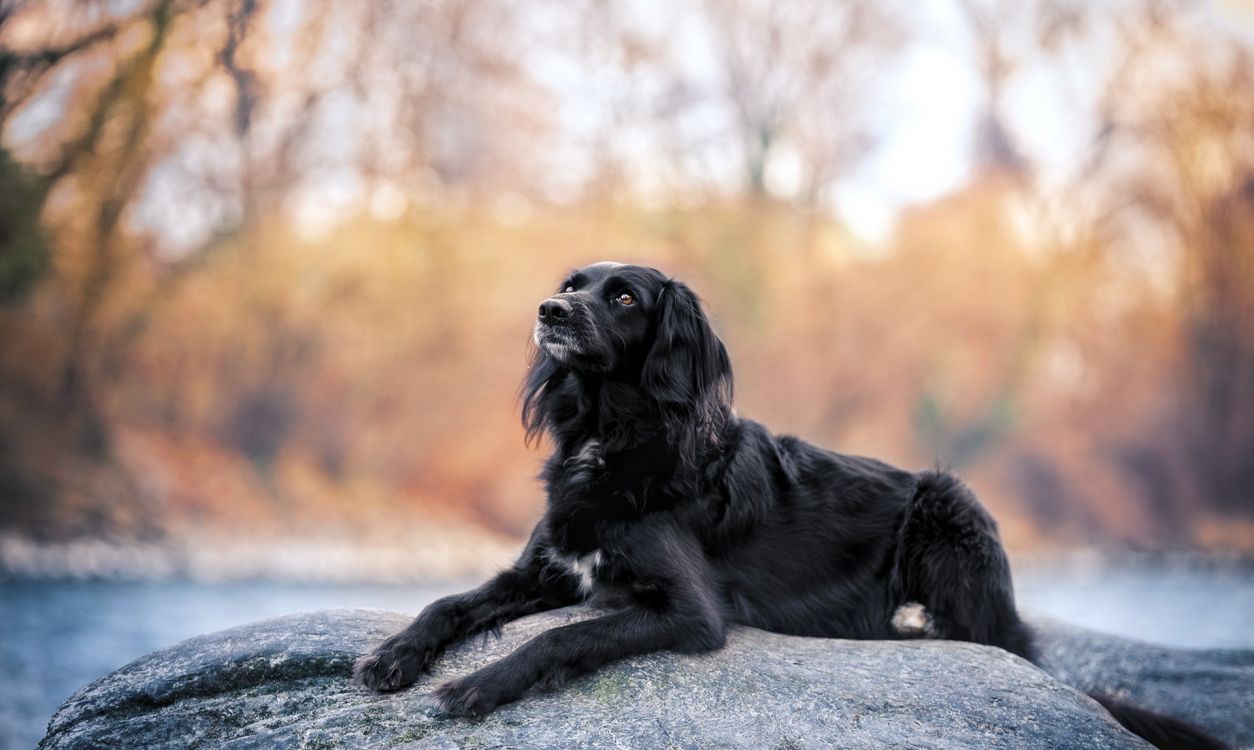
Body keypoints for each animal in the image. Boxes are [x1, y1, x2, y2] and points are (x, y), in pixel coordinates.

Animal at [356, 262, 1223, 747]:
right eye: (572, 287)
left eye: (624, 296)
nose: (549, 311)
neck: (616, 439)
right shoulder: (549, 567)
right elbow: (447, 603)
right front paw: (392, 656)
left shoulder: (687, 613)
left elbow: (562, 638)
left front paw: (478, 686)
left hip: (950, 498)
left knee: (986, 638)